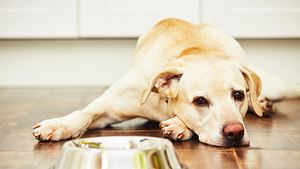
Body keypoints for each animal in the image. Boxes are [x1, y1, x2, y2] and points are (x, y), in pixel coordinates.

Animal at [32, 18, 300, 147]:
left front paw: (179, 124)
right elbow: (85, 113)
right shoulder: (109, 106)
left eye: (238, 95)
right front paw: (58, 125)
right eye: (200, 101)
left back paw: (262, 103)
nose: (235, 132)